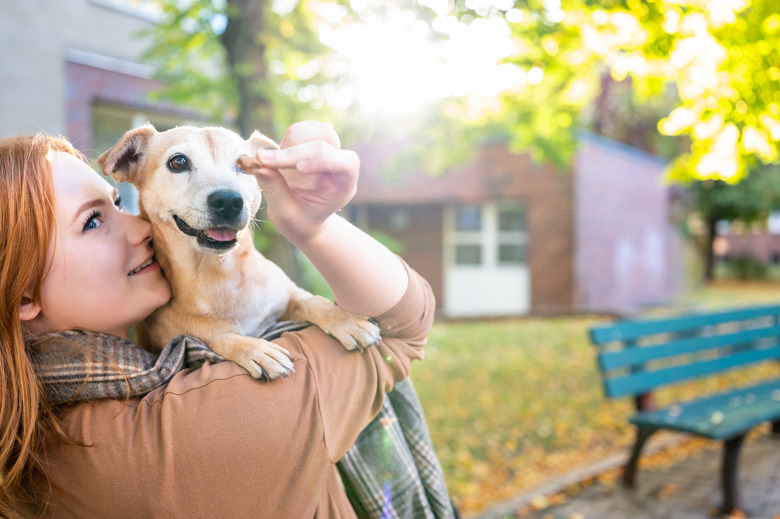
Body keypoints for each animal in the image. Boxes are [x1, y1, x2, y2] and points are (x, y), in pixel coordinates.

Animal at [97, 124, 380, 380]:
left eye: (244, 165)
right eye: (178, 162)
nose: (229, 201)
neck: (221, 273)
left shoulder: (288, 295)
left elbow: (312, 301)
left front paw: (344, 320)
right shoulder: (180, 339)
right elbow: (220, 338)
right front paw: (254, 348)